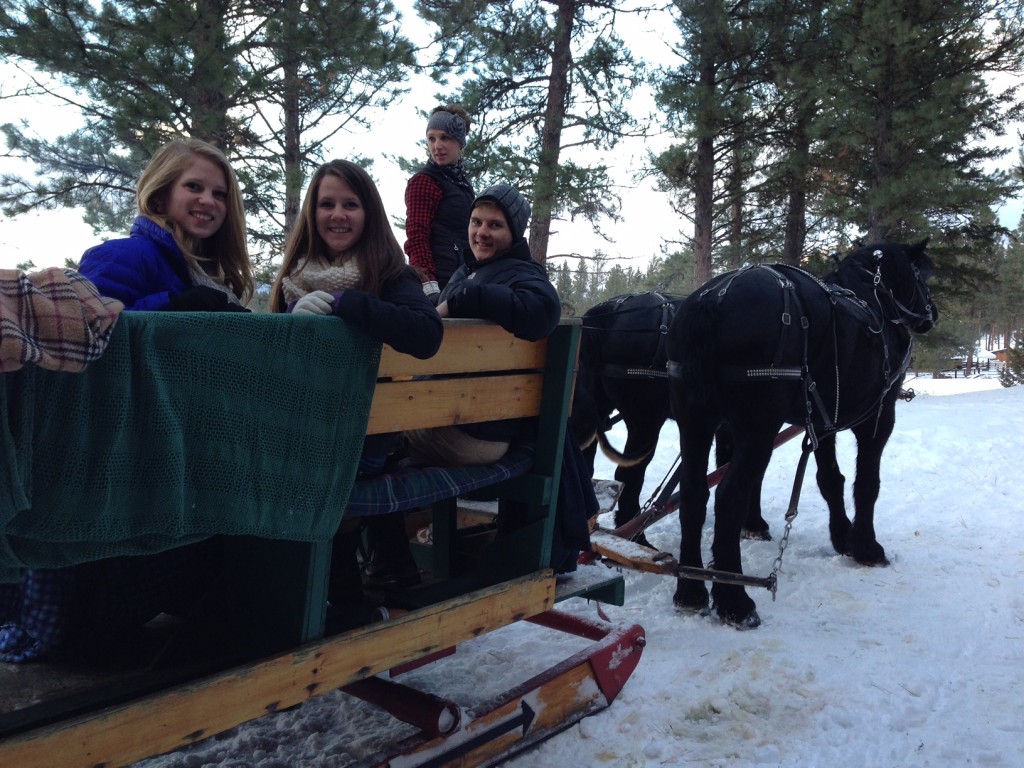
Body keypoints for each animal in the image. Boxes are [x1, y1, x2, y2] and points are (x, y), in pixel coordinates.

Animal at [667, 241, 937, 630]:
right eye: (922, 275)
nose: (932, 314)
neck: (872, 301)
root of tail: (714, 299)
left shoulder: (823, 421)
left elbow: (830, 480)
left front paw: (843, 537)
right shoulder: (878, 416)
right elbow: (867, 484)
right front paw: (866, 546)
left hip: (696, 423)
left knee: (694, 493)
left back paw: (690, 589)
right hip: (757, 426)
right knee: (729, 496)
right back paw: (735, 600)